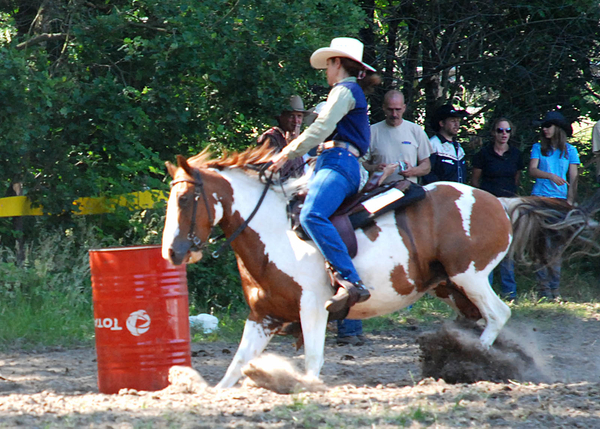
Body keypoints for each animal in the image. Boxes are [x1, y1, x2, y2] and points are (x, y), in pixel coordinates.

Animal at [161, 145, 600, 388]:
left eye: (185, 200)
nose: (172, 253)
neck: (274, 229)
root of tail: (499, 201)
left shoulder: (313, 308)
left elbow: (313, 361)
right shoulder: (263, 316)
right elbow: (236, 366)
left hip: (470, 276)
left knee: (497, 314)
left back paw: (476, 359)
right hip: (452, 286)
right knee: (482, 318)